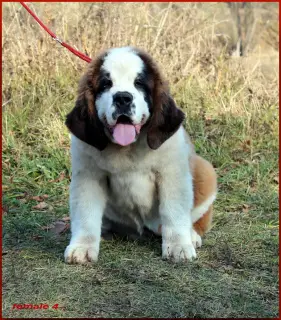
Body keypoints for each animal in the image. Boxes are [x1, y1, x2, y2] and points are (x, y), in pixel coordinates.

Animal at [64, 46, 217, 264]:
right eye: (106, 84)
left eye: (139, 83)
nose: (122, 98)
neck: (127, 148)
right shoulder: (88, 177)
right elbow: (86, 213)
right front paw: (82, 247)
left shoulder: (172, 174)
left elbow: (174, 211)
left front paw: (178, 246)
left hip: (205, 170)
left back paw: (192, 235)